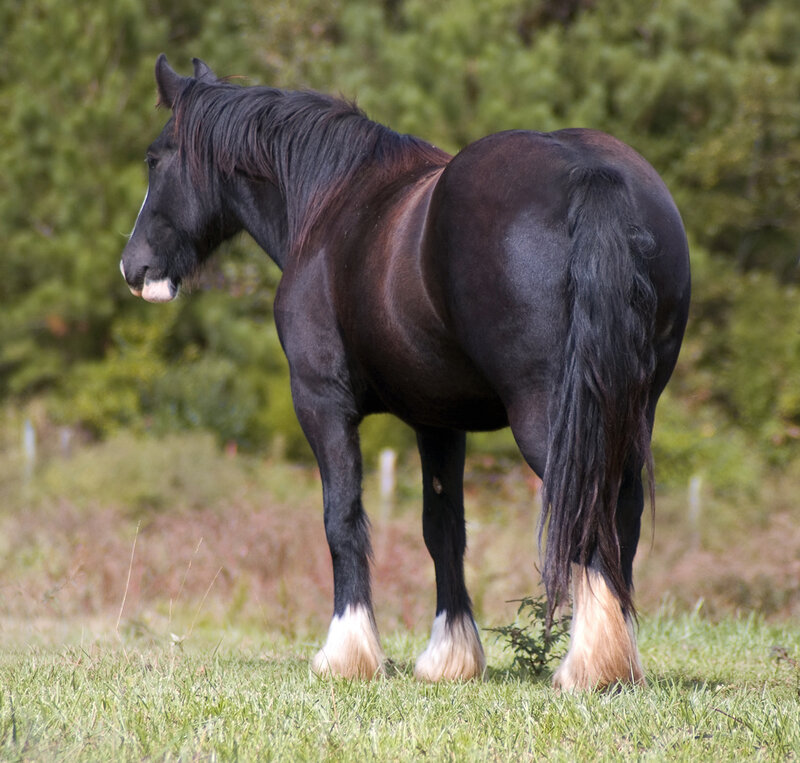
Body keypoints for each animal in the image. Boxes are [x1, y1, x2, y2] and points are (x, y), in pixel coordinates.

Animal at [121, 56, 690, 690]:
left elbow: (342, 519)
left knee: (591, 507)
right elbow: (444, 529)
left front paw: (347, 653)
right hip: (628, 410)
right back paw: (619, 656)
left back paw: (590, 664)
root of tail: (589, 174)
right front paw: (450, 656)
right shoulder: (438, 421)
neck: (331, 204)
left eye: (154, 158)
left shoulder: (321, 402)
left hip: (552, 419)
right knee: (624, 509)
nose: (134, 266)